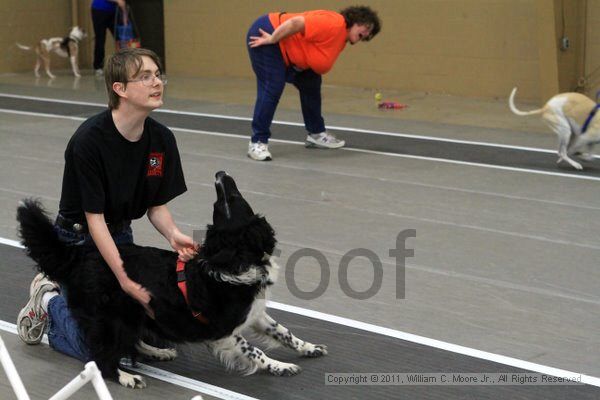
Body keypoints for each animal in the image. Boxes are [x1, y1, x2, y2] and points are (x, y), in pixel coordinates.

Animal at [16, 171, 326, 388]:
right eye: (226, 201)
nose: (220, 174)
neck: (233, 259)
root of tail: (81, 254)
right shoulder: (223, 332)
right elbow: (255, 351)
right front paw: (280, 367)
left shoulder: (255, 313)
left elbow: (284, 332)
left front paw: (310, 348)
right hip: (113, 318)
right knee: (101, 355)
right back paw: (126, 377)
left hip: (134, 314)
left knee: (131, 341)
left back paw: (158, 352)